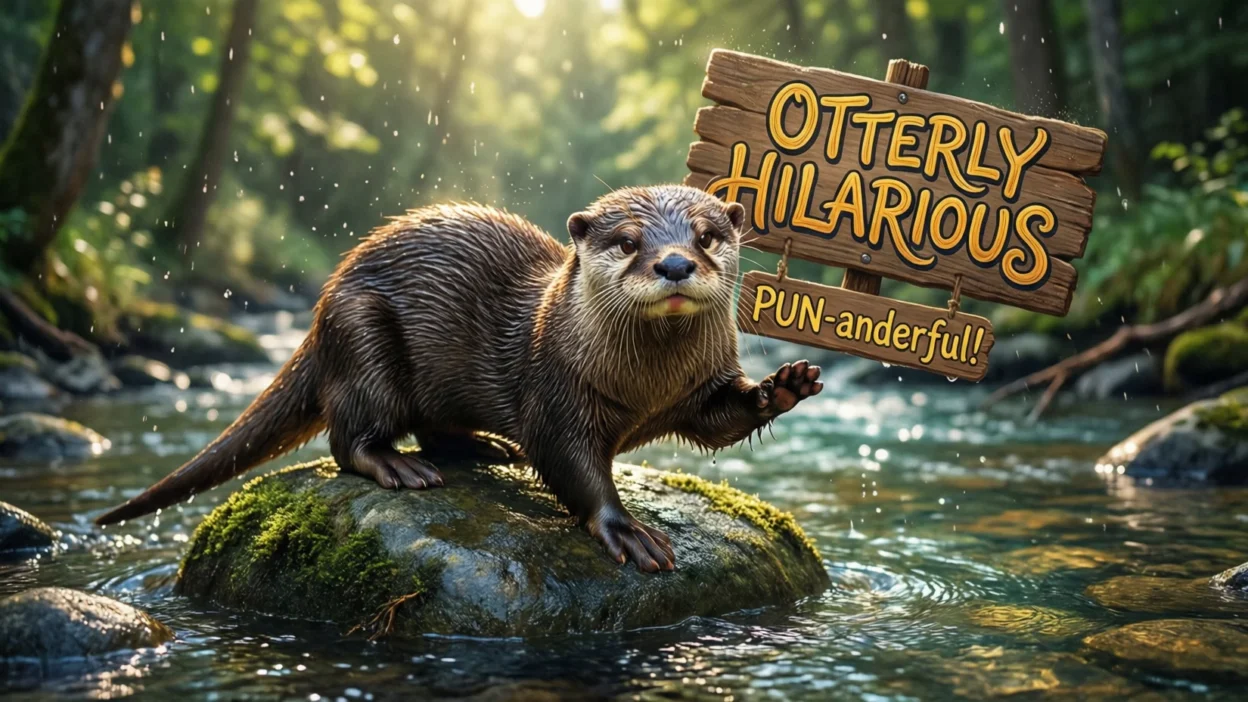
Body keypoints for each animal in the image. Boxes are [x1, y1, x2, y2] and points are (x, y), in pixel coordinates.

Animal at [96, 185, 823, 572]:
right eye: (627, 242)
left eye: (706, 235)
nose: (673, 263)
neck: (647, 387)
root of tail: (323, 305)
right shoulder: (554, 391)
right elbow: (569, 461)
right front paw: (626, 530)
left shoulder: (699, 386)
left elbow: (720, 420)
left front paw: (786, 384)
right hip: (363, 336)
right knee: (349, 439)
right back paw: (401, 466)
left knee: (433, 429)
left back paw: (486, 449)